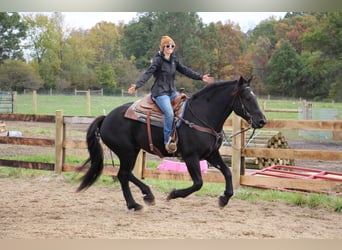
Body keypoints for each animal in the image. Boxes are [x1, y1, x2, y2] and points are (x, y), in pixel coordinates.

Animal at [77, 76, 268, 211]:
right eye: (247, 97)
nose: (262, 121)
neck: (202, 115)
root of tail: (106, 118)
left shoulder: (211, 154)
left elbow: (227, 172)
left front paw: (224, 198)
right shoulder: (191, 157)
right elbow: (198, 183)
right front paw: (173, 194)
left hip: (133, 151)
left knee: (125, 174)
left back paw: (144, 197)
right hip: (127, 152)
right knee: (123, 175)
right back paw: (136, 203)